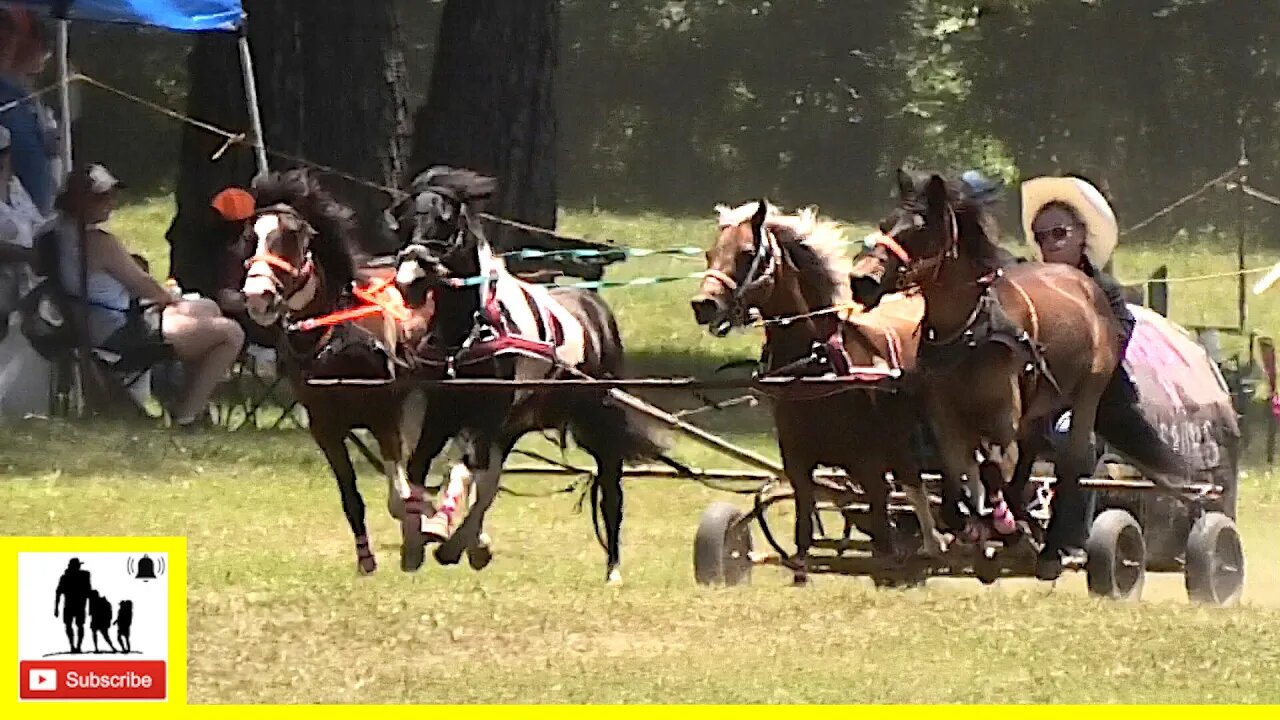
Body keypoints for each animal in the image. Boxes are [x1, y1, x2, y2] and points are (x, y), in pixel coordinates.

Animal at [240, 166, 435, 571]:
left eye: (290, 237)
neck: (339, 338)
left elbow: (400, 496)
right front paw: (366, 558)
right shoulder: (325, 429)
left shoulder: (384, 417)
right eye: (252, 237)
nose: (257, 296)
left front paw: (416, 536)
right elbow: (351, 496)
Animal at [691, 198, 942, 579]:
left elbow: (883, 539)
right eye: (710, 252)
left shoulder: (869, 465)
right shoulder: (798, 465)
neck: (816, 365)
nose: (703, 304)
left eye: (747, 253)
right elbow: (803, 536)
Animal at [849, 169, 1187, 576]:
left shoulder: (1002, 418)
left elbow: (993, 469)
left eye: (921, 230)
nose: (860, 281)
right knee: (1029, 453)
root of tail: (1084, 284)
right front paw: (975, 525)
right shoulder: (946, 419)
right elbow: (955, 480)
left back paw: (1051, 547)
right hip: (1041, 402)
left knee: (1069, 466)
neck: (968, 331)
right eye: (886, 224)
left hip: (1085, 397)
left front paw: (1005, 527)